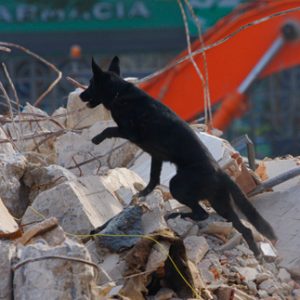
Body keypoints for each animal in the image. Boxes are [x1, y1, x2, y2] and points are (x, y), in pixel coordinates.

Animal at [80, 56, 276, 255]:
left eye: (91, 83)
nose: (81, 96)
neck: (119, 92)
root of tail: (220, 172)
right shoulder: (156, 156)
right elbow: (153, 179)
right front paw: (143, 193)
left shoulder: (129, 132)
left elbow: (110, 129)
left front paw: (97, 138)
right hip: (220, 203)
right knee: (241, 227)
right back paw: (256, 251)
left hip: (179, 186)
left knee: (202, 213)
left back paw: (177, 214)